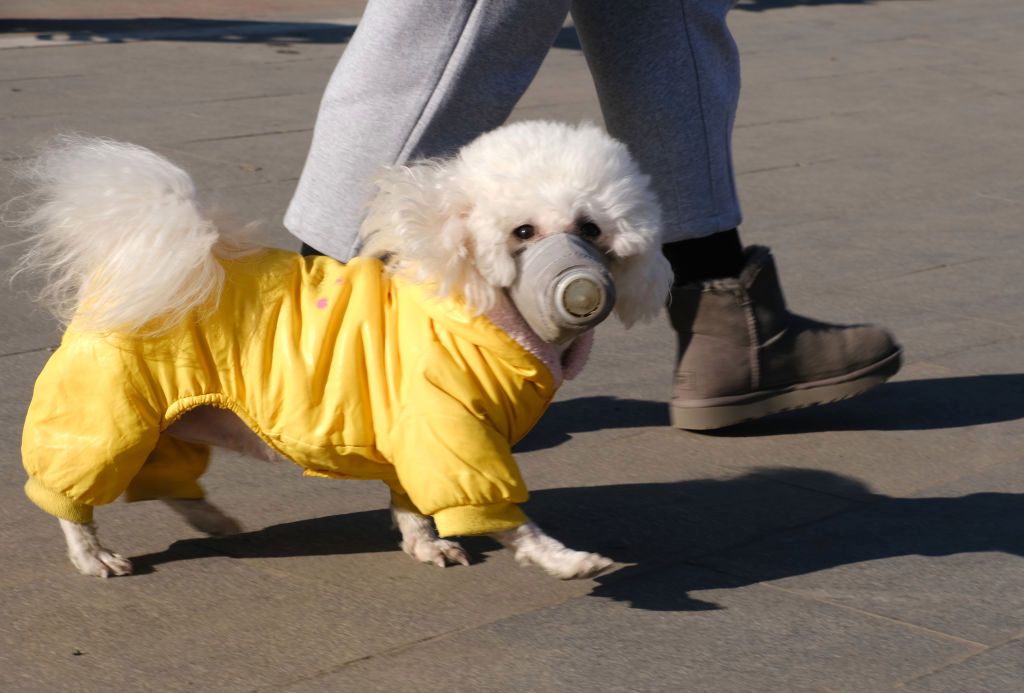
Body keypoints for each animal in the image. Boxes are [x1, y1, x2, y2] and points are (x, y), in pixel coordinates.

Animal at [16, 120, 675, 577]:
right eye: (523, 232)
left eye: (591, 228)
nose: (579, 278)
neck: (476, 306)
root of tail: (126, 264)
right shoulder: (452, 435)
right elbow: (507, 518)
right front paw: (567, 561)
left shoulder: (412, 440)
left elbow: (410, 504)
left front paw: (425, 545)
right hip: (110, 417)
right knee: (71, 496)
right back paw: (92, 555)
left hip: (172, 418)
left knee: (167, 479)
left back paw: (212, 520)